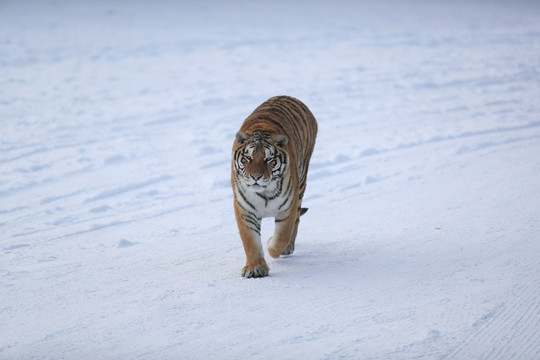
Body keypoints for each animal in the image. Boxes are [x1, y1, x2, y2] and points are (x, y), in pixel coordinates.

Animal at [231, 95, 316, 278]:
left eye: (268, 159)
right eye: (248, 158)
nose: (256, 177)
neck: (264, 192)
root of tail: (287, 96)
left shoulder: (288, 207)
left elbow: (282, 236)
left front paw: (271, 246)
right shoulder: (245, 209)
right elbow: (250, 241)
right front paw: (254, 268)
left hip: (301, 185)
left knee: (296, 220)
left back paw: (288, 248)